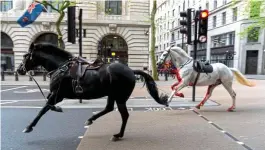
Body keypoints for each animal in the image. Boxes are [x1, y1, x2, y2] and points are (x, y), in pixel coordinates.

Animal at [16, 42, 167, 141]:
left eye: (25, 56)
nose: (19, 70)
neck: (61, 67)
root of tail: (131, 70)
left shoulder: (57, 95)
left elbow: (43, 109)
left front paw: (29, 127)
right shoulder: (55, 95)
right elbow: (47, 105)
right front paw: (57, 109)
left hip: (120, 97)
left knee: (124, 115)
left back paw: (118, 134)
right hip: (112, 95)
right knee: (109, 108)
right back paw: (92, 120)